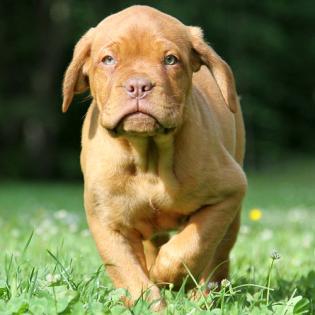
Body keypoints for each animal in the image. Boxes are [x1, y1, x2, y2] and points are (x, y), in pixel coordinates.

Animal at [61, 4, 248, 312]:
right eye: (108, 59)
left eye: (170, 59)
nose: (139, 85)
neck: (148, 154)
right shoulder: (107, 221)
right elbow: (130, 275)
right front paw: (148, 303)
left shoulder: (228, 193)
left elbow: (189, 248)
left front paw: (167, 277)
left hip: (232, 216)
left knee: (217, 257)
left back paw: (203, 296)